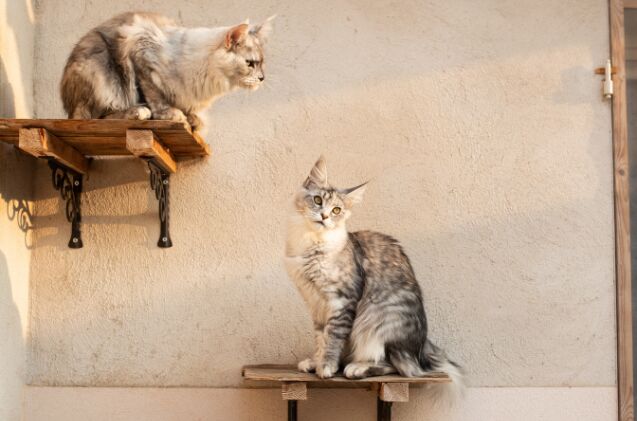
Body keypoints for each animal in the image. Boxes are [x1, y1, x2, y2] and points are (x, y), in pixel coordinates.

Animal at [60, 11, 276, 133]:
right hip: (101, 73)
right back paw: (138, 111)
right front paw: (169, 114)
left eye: (262, 64)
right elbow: (155, 96)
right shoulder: (141, 53)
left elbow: (190, 111)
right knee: (98, 117)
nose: (262, 78)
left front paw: (193, 119)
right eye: (250, 63)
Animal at [284, 158, 462, 388]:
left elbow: (333, 337)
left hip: (377, 321)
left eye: (336, 210)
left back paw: (357, 368)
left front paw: (327, 366)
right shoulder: (316, 303)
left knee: (399, 369)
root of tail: (421, 350)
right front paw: (316, 362)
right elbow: (320, 338)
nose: (324, 216)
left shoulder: (342, 300)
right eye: (317, 200)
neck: (311, 244)